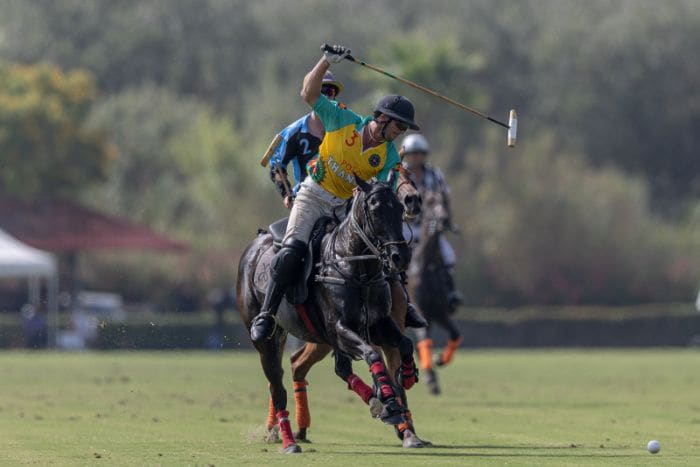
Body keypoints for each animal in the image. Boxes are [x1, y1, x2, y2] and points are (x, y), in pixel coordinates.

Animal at [238, 178, 418, 454]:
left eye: (399, 209)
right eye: (375, 210)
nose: (400, 257)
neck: (356, 268)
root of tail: (255, 244)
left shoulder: (379, 324)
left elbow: (405, 343)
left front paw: (405, 378)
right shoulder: (339, 328)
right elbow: (372, 354)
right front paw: (388, 399)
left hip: (299, 336)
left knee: (335, 368)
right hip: (266, 340)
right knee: (277, 385)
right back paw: (288, 440)